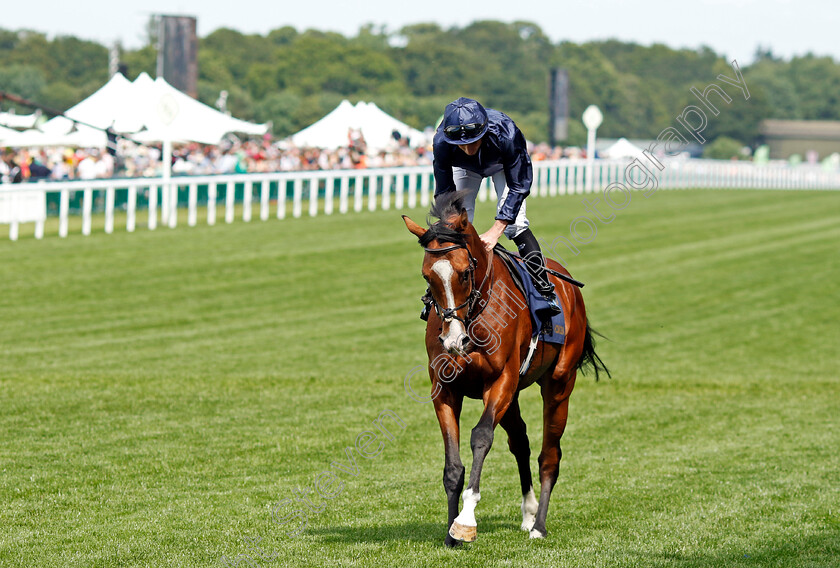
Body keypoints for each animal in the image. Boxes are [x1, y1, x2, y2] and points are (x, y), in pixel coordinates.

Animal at [404, 191, 608, 544]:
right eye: (428, 276)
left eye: (464, 273)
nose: (453, 340)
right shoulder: (445, 390)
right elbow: (452, 466)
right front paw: (450, 531)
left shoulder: (500, 380)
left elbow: (482, 437)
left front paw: (465, 521)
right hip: (513, 395)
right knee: (521, 442)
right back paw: (528, 514)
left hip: (558, 384)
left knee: (549, 454)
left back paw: (539, 525)